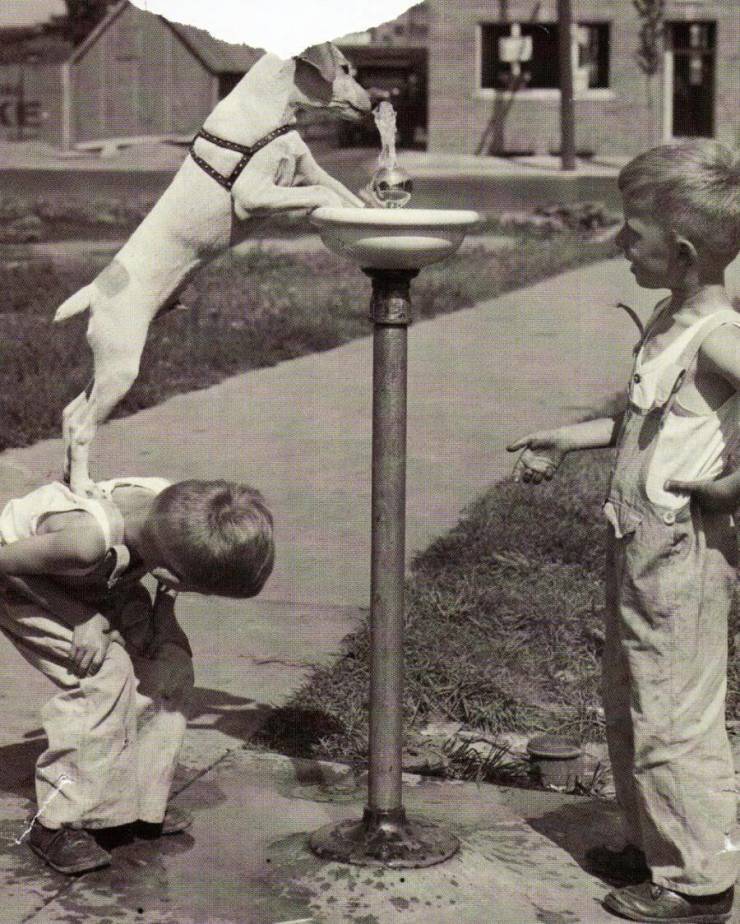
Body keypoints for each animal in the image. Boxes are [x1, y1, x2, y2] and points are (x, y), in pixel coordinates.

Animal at [53, 41, 370, 498]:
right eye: (344, 68)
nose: (375, 103)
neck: (269, 112)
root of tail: (95, 290)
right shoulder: (254, 196)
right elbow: (322, 194)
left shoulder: (308, 169)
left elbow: (340, 190)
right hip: (121, 367)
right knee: (81, 426)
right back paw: (83, 489)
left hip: (106, 365)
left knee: (70, 412)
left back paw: (72, 478)